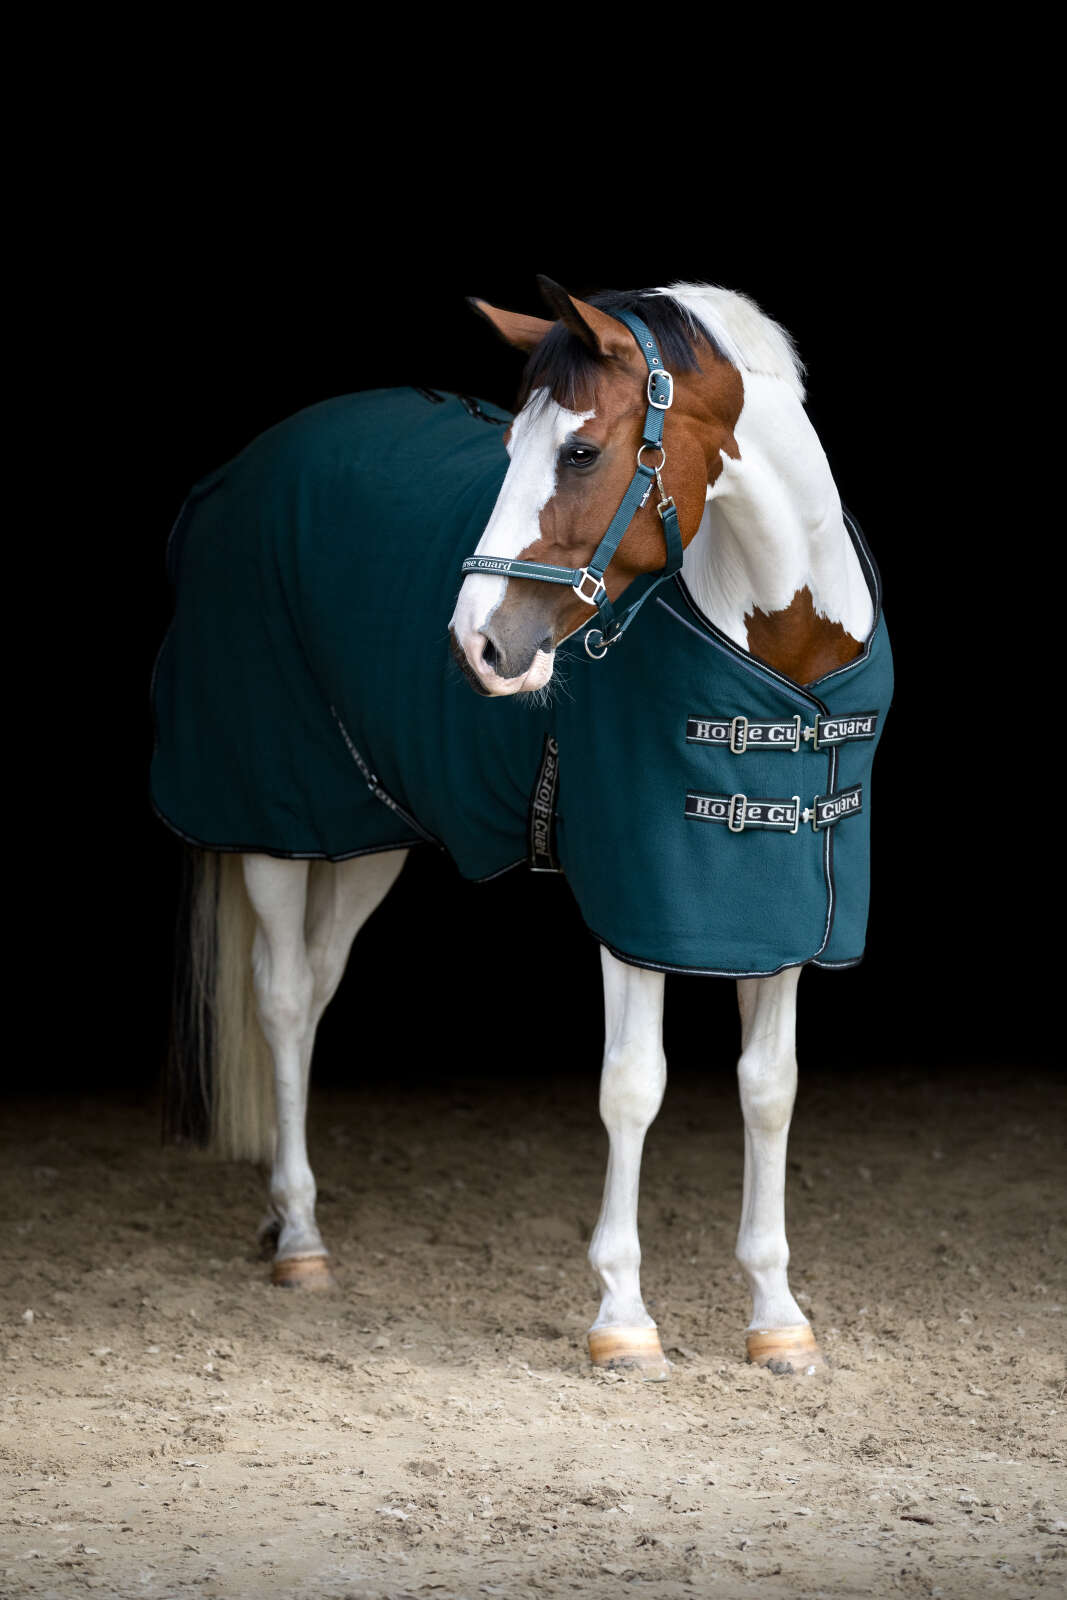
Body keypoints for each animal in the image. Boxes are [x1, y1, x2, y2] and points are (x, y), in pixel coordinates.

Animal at [153, 277, 891, 1382]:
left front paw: (776, 1316)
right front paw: (622, 1317)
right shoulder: (639, 898)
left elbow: (769, 1090)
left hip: (366, 831)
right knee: (282, 998)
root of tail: (243, 468)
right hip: (272, 815)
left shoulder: (781, 906)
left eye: (580, 452)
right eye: (508, 448)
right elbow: (633, 1086)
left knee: (317, 987)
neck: (784, 653)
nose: (476, 643)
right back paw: (300, 1239)